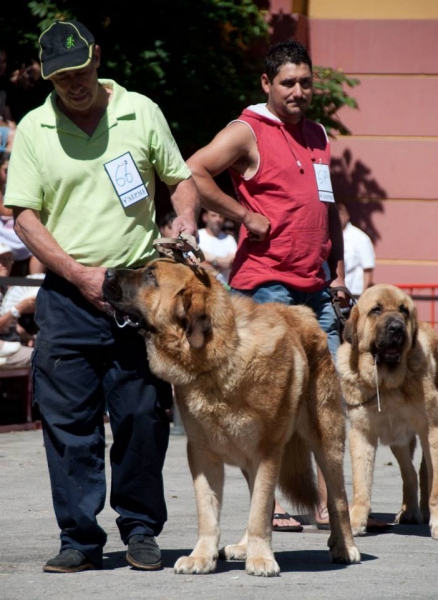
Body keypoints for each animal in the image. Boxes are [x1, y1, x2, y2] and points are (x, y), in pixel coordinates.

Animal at [104, 258, 362, 576]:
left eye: (151, 275)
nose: (106, 272)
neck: (216, 356)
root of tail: (305, 315)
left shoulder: (267, 453)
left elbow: (260, 510)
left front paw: (261, 558)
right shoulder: (202, 454)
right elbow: (211, 512)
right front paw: (202, 557)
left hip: (326, 443)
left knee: (337, 499)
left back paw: (345, 547)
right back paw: (243, 546)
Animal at [338, 284, 438, 540]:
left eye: (404, 310)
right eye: (376, 310)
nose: (397, 328)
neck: (387, 384)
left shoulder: (432, 429)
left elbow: (435, 483)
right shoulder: (361, 433)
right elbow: (361, 482)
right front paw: (356, 522)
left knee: (423, 472)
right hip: (397, 440)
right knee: (409, 473)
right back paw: (410, 511)